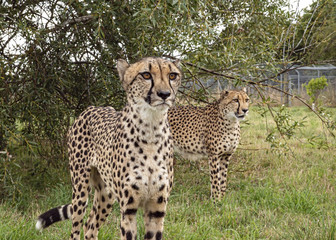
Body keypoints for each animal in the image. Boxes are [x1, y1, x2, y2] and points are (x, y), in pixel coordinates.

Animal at [35, 57, 182, 239]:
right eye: (146, 75)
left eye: (172, 75)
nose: (164, 94)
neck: (151, 129)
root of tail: (92, 107)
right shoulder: (128, 209)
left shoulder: (157, 209)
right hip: (80, 189)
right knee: (76, 227)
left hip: (106, 192)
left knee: (90, 225)